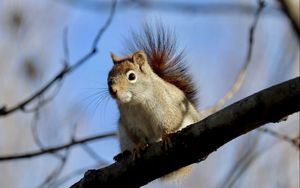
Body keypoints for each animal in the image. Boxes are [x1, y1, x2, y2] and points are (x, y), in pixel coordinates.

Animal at [106, 24, 200, 183]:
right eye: (109, 76)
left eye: (131, 76)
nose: (113, 90)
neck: (137, 102)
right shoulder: (129, 122)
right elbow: (136, 136)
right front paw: (139, 146)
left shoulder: (168, 106)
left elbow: (170, 121)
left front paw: (167, 135)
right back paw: (123, 155)